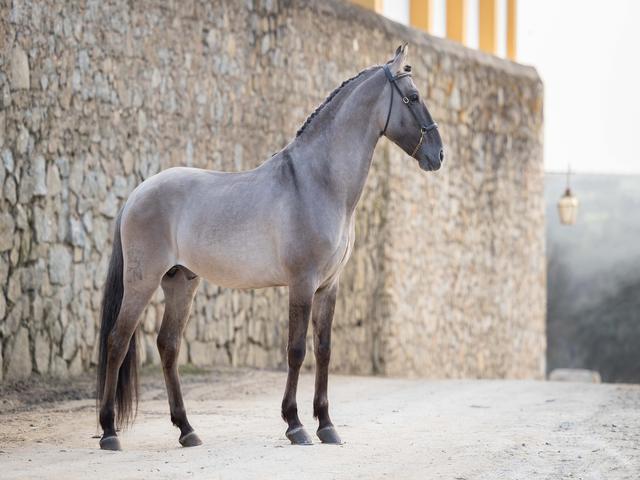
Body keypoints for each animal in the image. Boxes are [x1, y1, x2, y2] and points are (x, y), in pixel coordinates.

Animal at [96, 44, 444, 451]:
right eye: (413, 97)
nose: (438, 155)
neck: (318, 182)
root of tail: (137, 193)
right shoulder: (302, 283)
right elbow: (296, 351)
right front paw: (296, 425)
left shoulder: (329, 286)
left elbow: (324, 350)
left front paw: (327, 425)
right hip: (142, 281)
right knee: (117, 342)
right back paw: (109, 432)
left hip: (180, 282)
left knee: (168, 346)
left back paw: (187, 430)